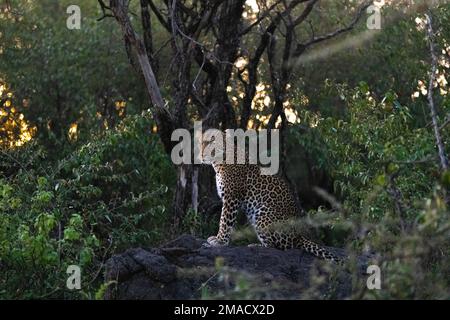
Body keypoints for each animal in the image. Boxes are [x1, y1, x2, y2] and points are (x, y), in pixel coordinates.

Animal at [200, 131, 344, 264]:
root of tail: (298, 236)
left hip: (262, 214)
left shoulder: (232, 198)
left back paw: (255, 246)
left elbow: (224, 221)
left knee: (277, 247)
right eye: (202, 143)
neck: (218, 163)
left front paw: (220, 241)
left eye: (211, 143)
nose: (201, 154)